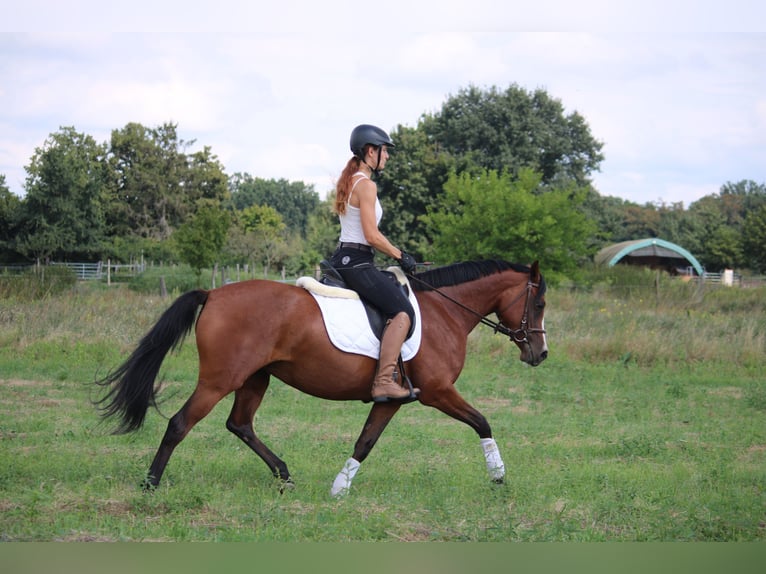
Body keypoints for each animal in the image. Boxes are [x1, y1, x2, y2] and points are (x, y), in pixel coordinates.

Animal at [96, 260, 548, 496]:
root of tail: (214, 294)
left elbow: (365, 442)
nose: (540, 354)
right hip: (219, 380)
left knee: (240, 424)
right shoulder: (438, 391)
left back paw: (284, 475)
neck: (444, 312)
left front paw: (338, 489)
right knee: (180, 423)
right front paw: (499, 476)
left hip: (255, 378)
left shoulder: (392, 399)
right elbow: (482, 422)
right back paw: (150, 484)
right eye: (540, 303)